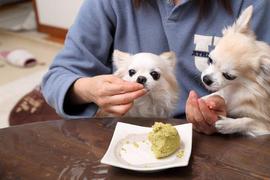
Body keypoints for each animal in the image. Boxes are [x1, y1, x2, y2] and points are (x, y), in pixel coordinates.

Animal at [201, 6, 270, 137]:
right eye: (210, 59)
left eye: (228, 76)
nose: (206, 79)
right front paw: (202, 99)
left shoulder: (266, 124)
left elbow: (248, 120)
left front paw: (228, 124)